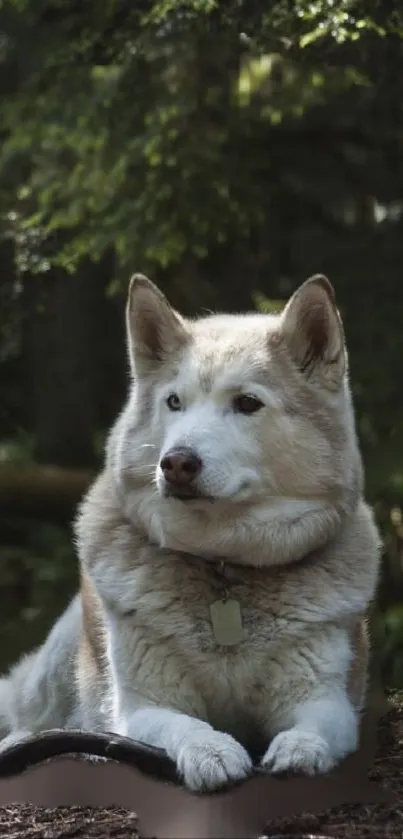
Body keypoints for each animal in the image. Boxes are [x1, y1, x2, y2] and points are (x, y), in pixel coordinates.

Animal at [0, 276, 382, 796]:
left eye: (247, 403)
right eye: (174, 402)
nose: (176, 462)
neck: (223, 566)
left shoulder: (327, 698)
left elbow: (314, 727)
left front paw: (299, 750)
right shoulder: (144, 705)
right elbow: (185, 725)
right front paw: (212, 752)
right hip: (60, 660)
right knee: (34, 719)